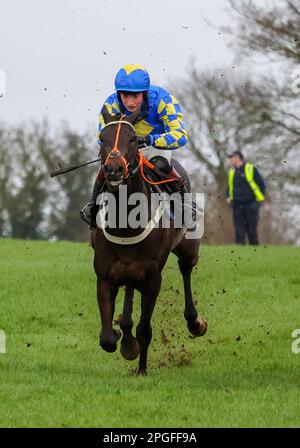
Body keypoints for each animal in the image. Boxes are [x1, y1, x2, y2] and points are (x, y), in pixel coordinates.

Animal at [90, 106, 206, 374]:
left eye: (133, 139)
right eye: (102, 138)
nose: (113, 169)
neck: (126, 224)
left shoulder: (153, 278)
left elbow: (144, 330)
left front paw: (142, 369)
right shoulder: (105, 276)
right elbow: (107, 339)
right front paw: (124, 341)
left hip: (187, 249)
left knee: (186, 269)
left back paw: (195, 322)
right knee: (130, 289)